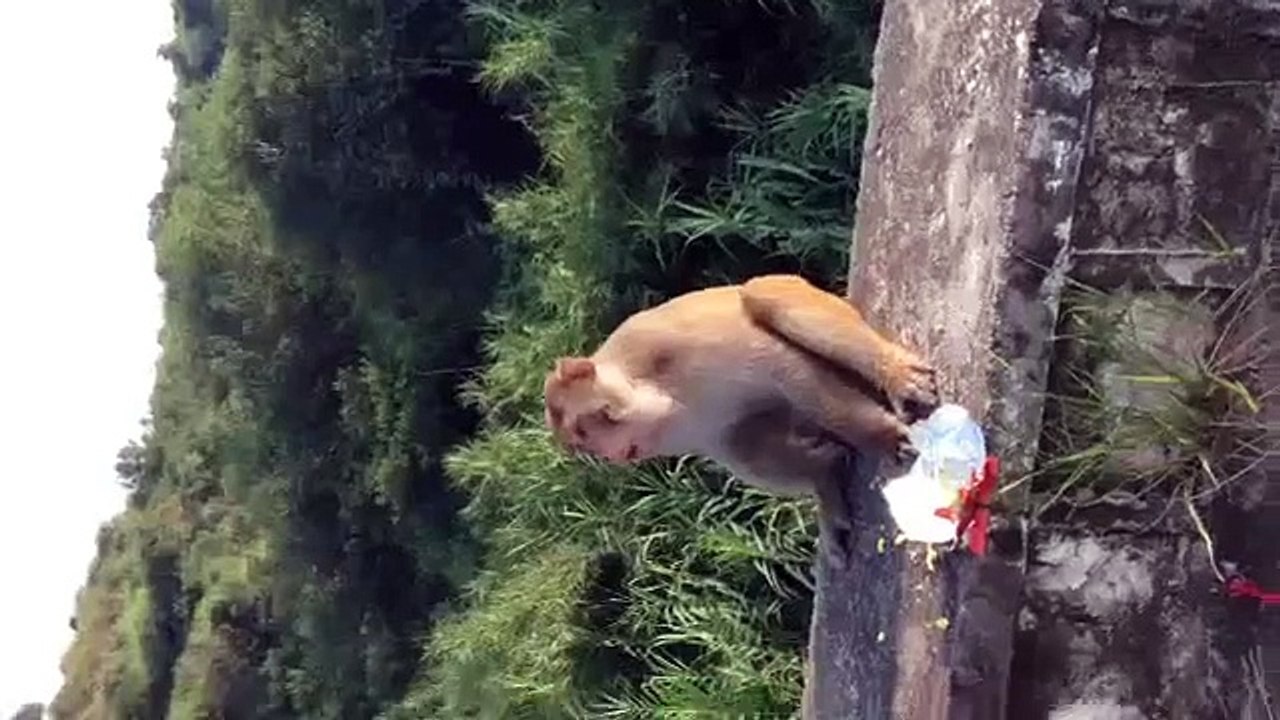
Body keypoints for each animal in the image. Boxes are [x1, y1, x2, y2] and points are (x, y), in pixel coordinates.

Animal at [542, 274, 939, 556]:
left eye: (586, 427)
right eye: (583, 446)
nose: (608, 454)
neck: (652, 389)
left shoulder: (667, 343)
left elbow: (789, 371)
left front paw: (879, 436)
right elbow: (740, 447)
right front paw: (827, 476)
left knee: (762, 296)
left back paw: (894, 373)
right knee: (745, 445)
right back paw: (826, 479)